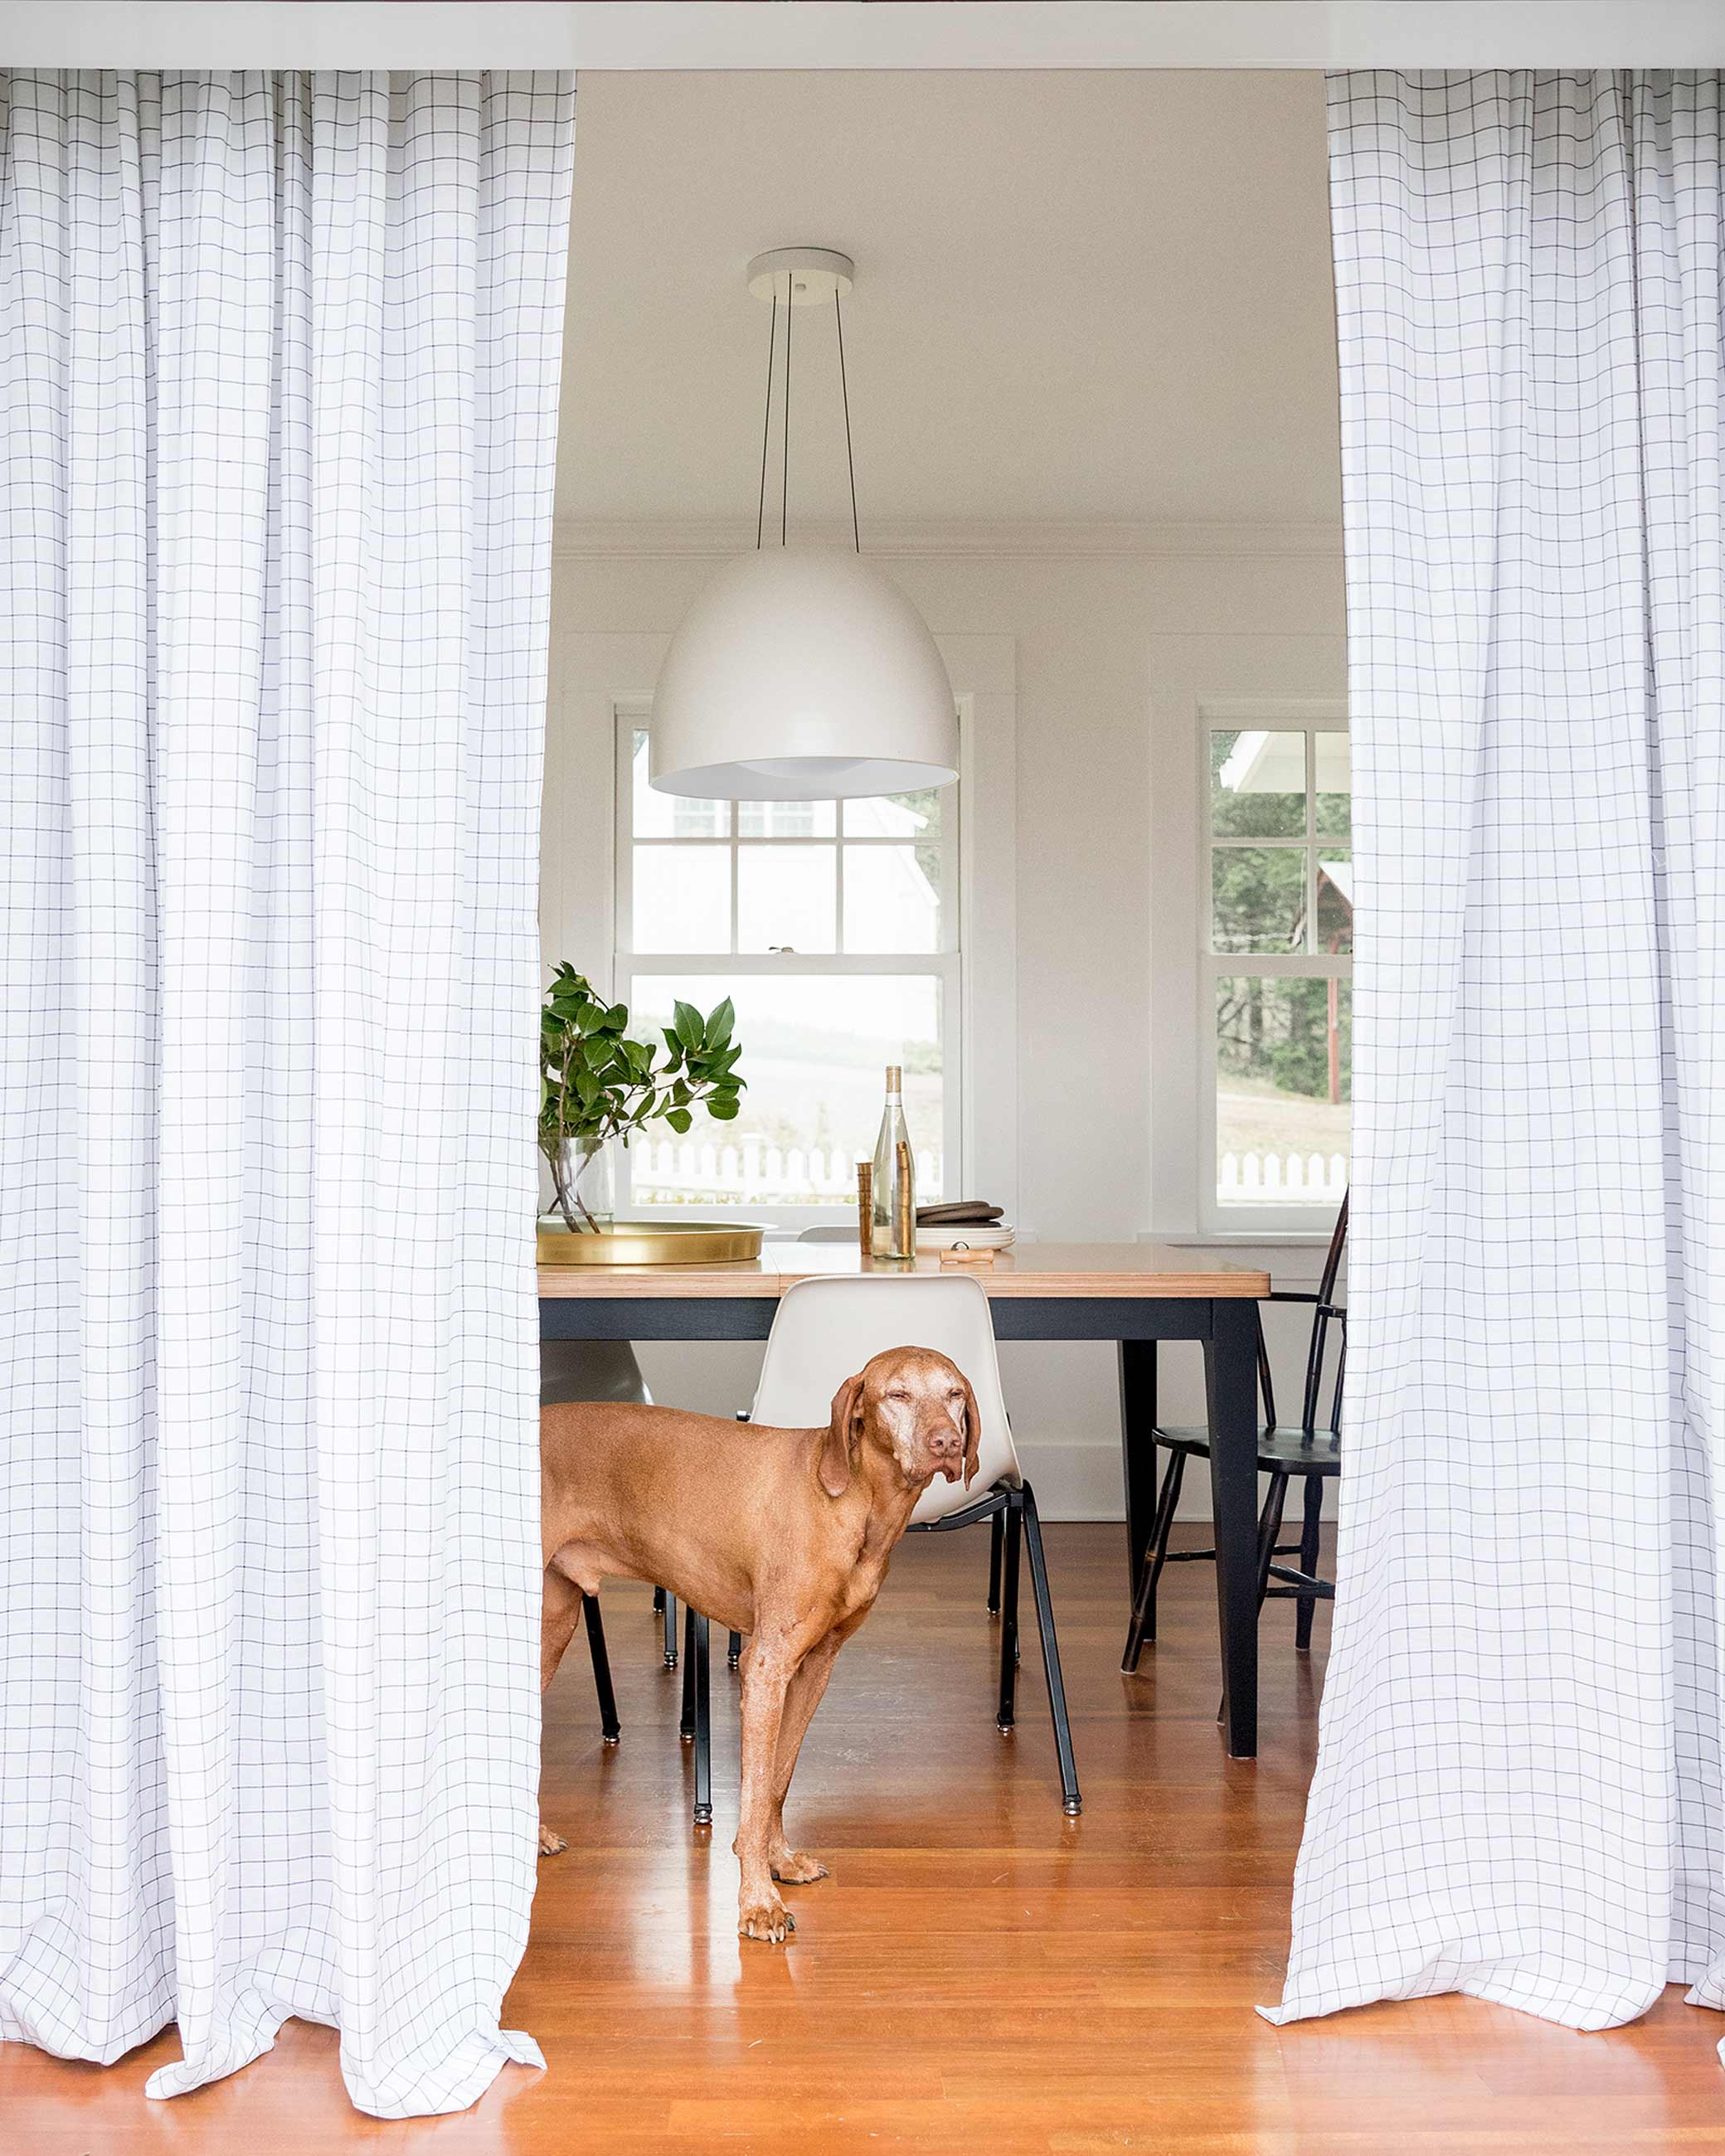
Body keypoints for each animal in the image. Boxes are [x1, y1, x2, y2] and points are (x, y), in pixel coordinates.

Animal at [539, 1345, 979, 1940]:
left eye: (953, 1394)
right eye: (897, 1394)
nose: (946, 1443)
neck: (852, 1501)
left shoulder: (815, 1667)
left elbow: (776, 1781)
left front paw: (779, 1862)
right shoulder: (765, 1668)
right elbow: (752, 1793)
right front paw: (757, 1902)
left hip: (552, 1624)